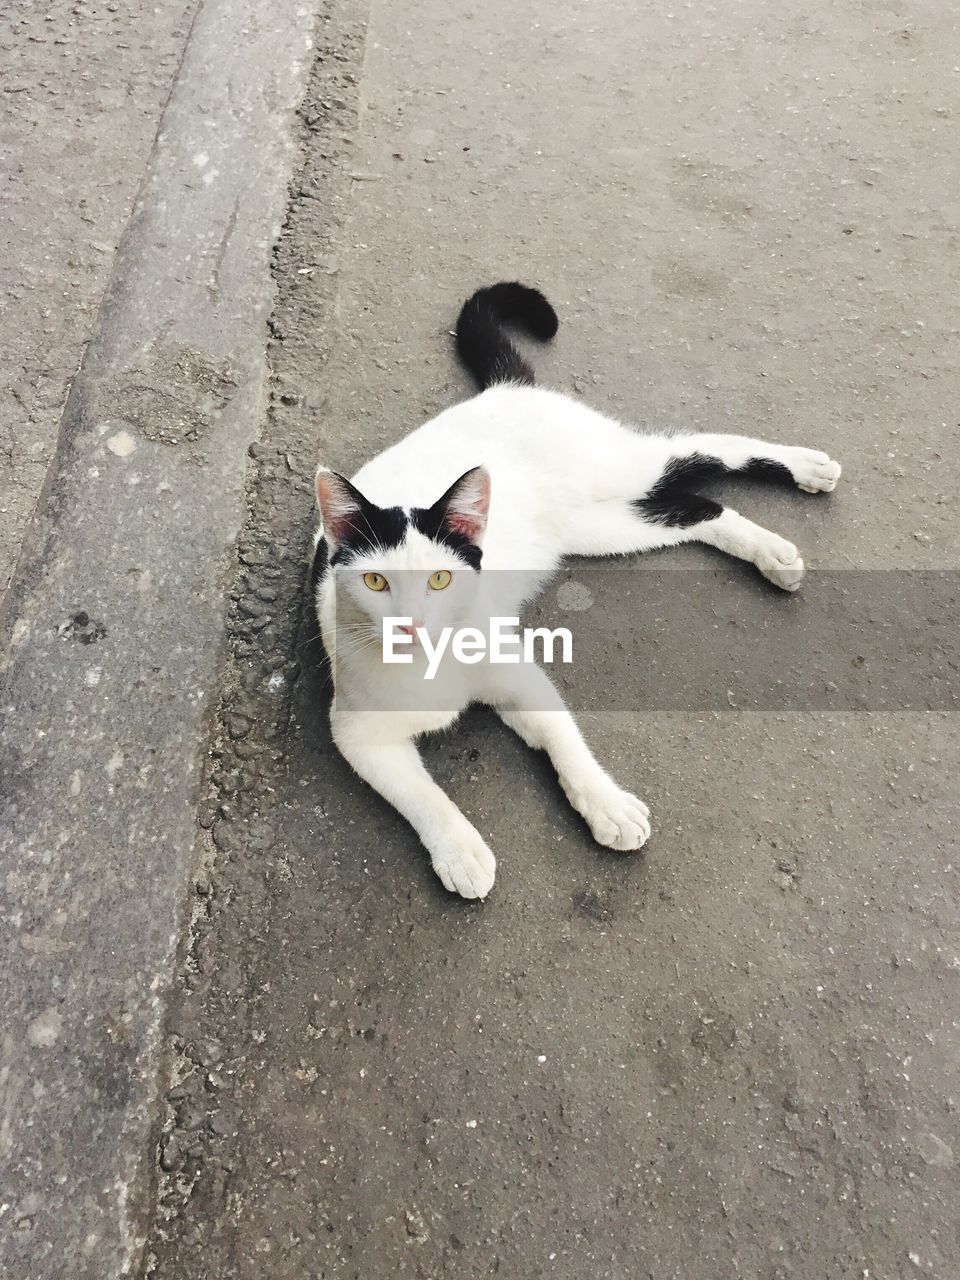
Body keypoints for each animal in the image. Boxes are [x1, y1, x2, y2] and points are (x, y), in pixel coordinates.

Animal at [313, 284, 839, 896]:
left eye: (440, 578)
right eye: (375, 581)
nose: (411, 625)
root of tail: (503, 390)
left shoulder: (518, 677)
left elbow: (566, 741)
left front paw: (607, 806)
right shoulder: (358, 734)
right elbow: (424, 797)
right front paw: (461, 852)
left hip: (612, 467)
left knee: (701, 449)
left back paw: (807, 467)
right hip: (602, 528)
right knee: (696, 507)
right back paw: (770, 552)